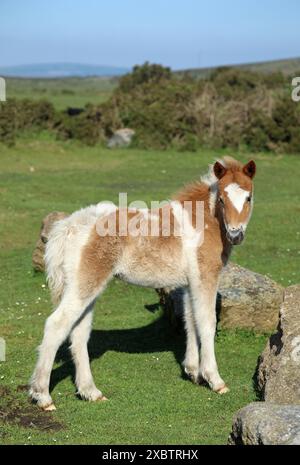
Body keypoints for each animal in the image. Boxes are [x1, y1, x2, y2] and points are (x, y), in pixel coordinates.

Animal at [29, 157, 255, 410]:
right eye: (222, 199)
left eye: (248, 197)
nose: (236, 235)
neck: (202, 221)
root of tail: (69, 226)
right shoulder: (205, 277)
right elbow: (207, 322)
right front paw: (214, 379)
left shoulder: (189, 283)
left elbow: (190, 320)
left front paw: (193, 372)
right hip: (84, 286)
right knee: (56, 325)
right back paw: (43, 396)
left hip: (87, 287)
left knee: (79, 333)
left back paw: (90, 392)